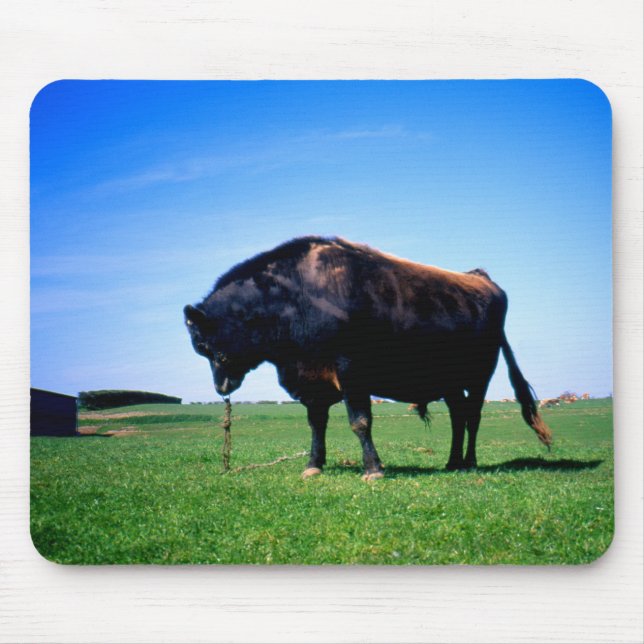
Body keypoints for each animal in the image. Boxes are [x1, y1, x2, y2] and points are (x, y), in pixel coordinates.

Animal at [184, 236, 552, 480]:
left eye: (204, 342)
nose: (221, 387)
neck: (297, 297)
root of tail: (480, 278)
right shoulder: (312, 381)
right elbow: (317, 424)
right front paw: (313, 466)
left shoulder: (351, 371)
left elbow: (360, 421)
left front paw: (373, 469)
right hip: (449, 383)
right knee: (458, 416)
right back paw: (452, 462)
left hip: (480, 375)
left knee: (473, 416)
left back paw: (470, 461)